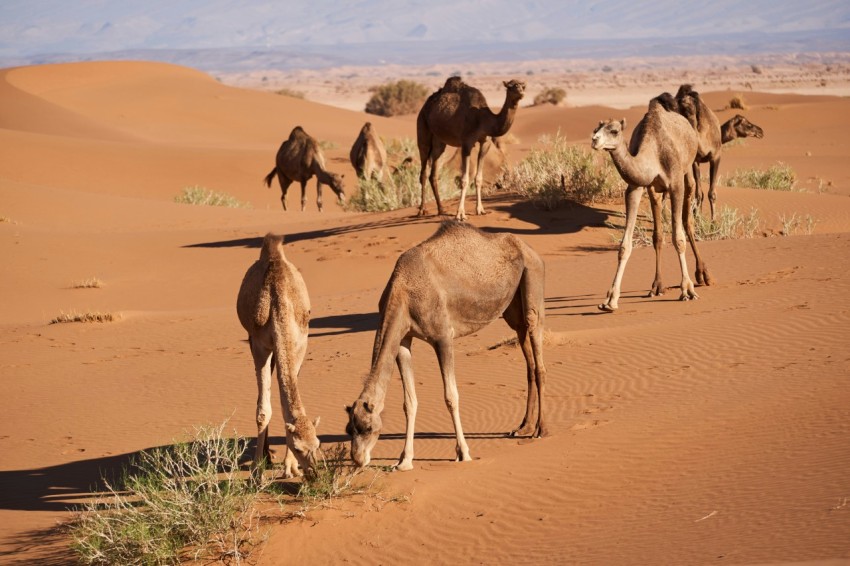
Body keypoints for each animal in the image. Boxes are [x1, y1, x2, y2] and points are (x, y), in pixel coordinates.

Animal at [235, 233, 318, 478]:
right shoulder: (260, 344)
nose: (314, 472)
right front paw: (256, 470)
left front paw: (290, 468)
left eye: (318, 444)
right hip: (254, 341)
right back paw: (264, 455)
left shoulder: (299, 342)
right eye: (298, 447)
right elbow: (262, 410)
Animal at [346, 220, 548, 472]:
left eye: (368, 428)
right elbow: (409, 402)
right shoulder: (403, 340)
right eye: (349, 430)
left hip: (533, 279)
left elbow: (451, 397)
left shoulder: (443, 337)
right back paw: (523, 427)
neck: (403, 291)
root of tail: (531, 250)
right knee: (527, 355)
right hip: (513, 310)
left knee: (537, 348)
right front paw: (404, 461)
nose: (357, 459)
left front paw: (463, 453)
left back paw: (541, 429)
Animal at [416, 74, 528, 219]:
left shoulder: (485, 142)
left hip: (439, 142)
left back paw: (441, 209)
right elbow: (464, 179)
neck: (484, 119)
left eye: (523, 86)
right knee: (423, 171)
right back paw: (422, 210)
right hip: (423, 130)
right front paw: (460, 214)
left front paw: (480, 209)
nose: (521, 92)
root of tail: (425, 106)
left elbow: (478, 178)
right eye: (510, 86)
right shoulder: (466, 143)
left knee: (433, 173)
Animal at [588, 96, 708, 316]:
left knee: (688, 219)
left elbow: (678, 239)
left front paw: (687, 290)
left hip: (688, 169)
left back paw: (702, 276)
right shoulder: (635, 187)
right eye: (596, 128)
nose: (595, 140)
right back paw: (657, 286)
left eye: (614, 131)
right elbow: (625, 246)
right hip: (655, 191)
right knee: (658, 232)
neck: (654, 152)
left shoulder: (675, 183)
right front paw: (610, 300)